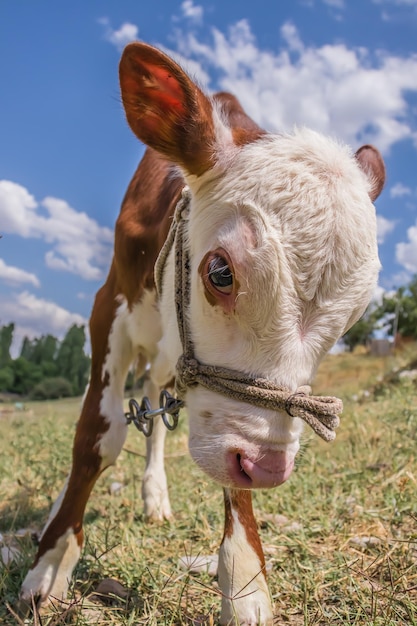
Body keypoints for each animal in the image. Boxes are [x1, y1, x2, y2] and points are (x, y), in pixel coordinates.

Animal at [19, 41, 384, 620]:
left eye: (355, 315)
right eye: (220, 273)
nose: (269, 468)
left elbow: (228, 474)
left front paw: (247, 581)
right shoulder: (107, 309)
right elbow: (97, 435)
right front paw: (51, 564)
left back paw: (155, 495)